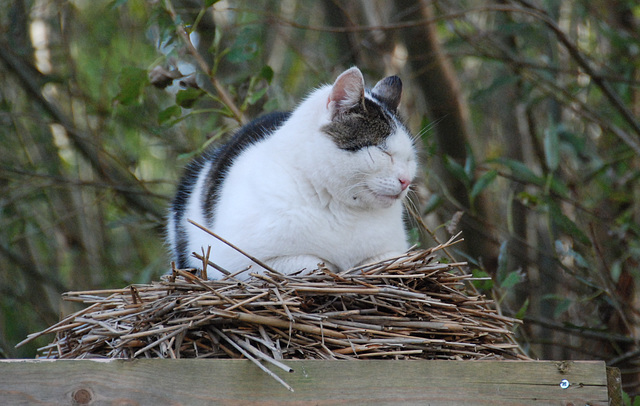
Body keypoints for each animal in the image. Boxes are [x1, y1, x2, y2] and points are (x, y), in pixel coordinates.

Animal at [168, 67, 418, 280]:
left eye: (409, 158)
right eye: (383, 152)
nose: (406, 181)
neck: (339, 207)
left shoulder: (392, 253)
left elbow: (388, 260)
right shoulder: (240, 262)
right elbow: (313, 264)